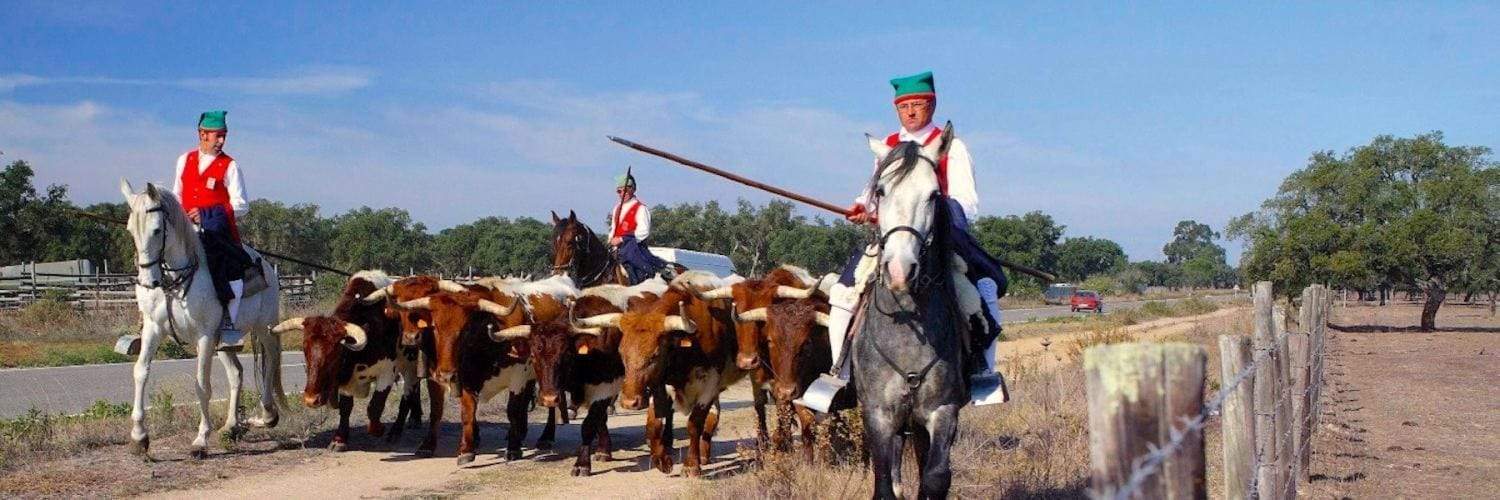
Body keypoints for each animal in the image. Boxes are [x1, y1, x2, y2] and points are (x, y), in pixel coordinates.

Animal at [118, 180, 284, 458]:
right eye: (131, 229)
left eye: (156, 230)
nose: (147, 281)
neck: (174, 282)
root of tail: (267, 268)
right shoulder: (153, 329)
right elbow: (140, 372)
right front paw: (139, 436)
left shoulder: (204, 336)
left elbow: (202, 385)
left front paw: (201, 439)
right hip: (224, 341)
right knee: (236, 374)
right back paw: (231, 426)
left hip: (264, 328)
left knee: (270, 361)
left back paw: (268, 413)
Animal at [850, 123, 970, 499]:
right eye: (881, 190)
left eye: (933, 195)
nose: (900, 270)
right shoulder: (878, 413)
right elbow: (884, 483)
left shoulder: (942, 410)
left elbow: (935, 476)